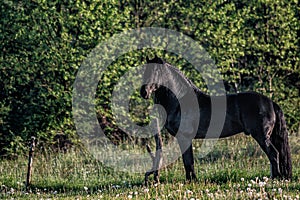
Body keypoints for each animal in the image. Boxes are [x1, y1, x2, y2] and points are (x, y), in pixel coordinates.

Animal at [141, 55, 292, 182]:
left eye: (156, 71)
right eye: (145, 71)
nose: (144, 92)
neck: (181, 101)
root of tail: (270, 102)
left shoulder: (185, 137)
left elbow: (188, 161)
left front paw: (191, 180)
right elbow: (188, 160)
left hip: (261, 135)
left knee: (273, 154)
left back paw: (275, 178)